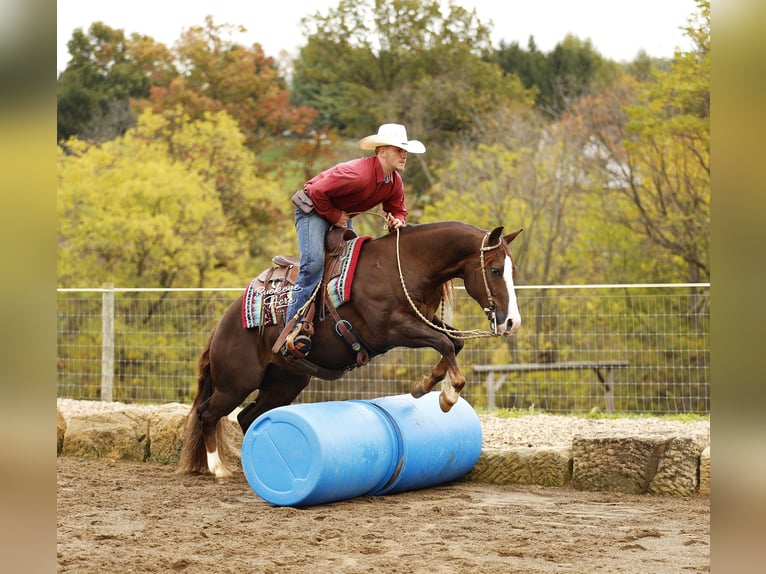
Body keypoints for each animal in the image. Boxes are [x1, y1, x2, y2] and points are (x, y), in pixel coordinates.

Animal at [179, 221, 522, 481]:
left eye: (512, 270)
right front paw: (447, 396)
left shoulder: (423, 319)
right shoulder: (392, 330)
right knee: (208, 412)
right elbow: (444, 343)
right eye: (495, 270)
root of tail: (222, 326)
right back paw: (218, 468)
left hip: (284, 382)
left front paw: (423, 386)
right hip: (236, 383)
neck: (402, 265)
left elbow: (454, 342)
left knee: (248, 416)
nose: (512, 322)